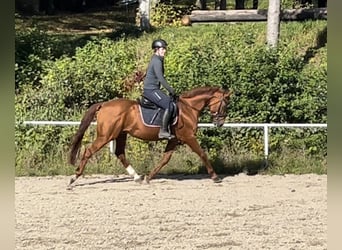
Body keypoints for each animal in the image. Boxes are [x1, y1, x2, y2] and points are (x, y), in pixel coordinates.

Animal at [67, 86, 232, 188]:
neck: (188, 109)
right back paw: (73, 179)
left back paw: (137, 177)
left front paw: (149, 177)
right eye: (225, 104)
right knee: (89, 151)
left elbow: (165, 159)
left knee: (120, 153)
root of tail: (104, 105)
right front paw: (215, 177)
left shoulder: (174, 139)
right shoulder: (189, 137)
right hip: (106, 135)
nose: (220, 123)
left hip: (120, 134)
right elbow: (202, 154)